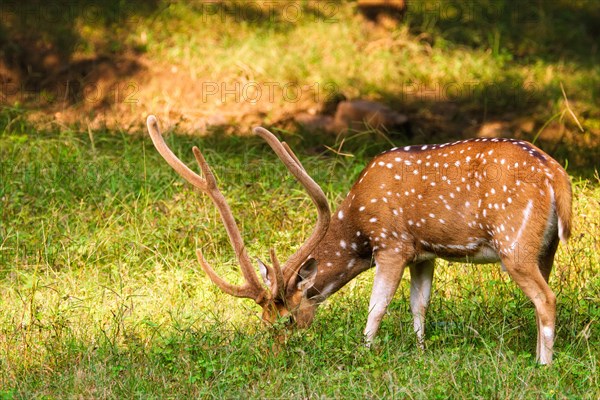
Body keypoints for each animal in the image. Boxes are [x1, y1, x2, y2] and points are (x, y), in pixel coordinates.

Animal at [145, 114, 572, 364]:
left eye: (286, 320)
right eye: (263, 322)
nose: (274, 355)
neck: (357, 231)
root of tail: (558, 178)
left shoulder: (392, 244)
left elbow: (376, 308)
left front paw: (364, 354)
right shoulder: (423, 254)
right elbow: (419, 306)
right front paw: (420, 354)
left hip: (514, 244)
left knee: (546, 298)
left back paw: (542, 365)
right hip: (545, 247)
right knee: (542, 297)